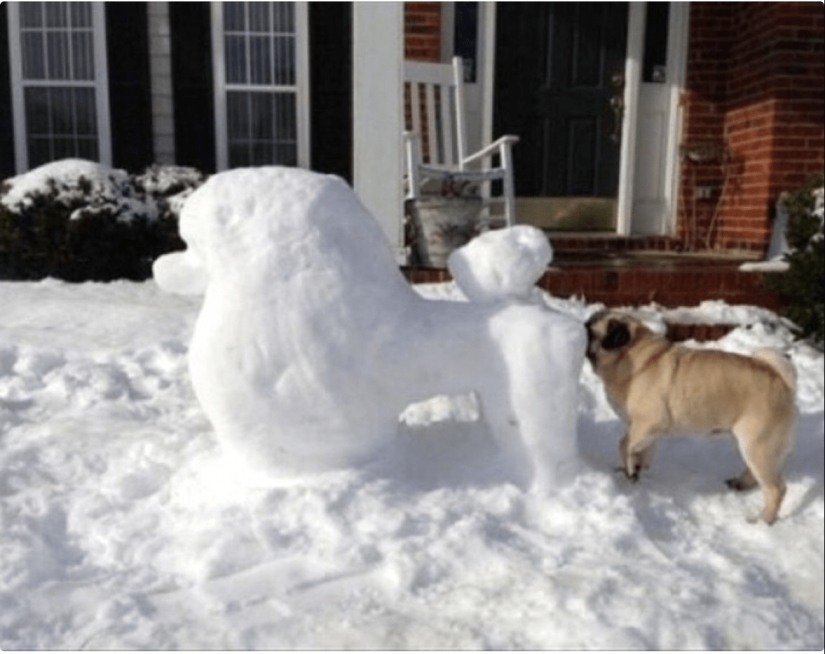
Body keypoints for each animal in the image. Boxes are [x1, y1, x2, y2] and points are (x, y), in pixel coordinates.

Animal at [584, 310, 796, 524]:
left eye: (590, 332)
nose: (585, 322)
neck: (634, 357)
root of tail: (779, 378)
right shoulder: (649, 432)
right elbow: (643, 451)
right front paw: (637, 469)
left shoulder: (646, 424)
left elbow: (624, 444)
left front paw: (629, 471)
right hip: (755, 446)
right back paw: (740, 484)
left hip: (757, 445)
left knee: (775, 489)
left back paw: (763, 520)